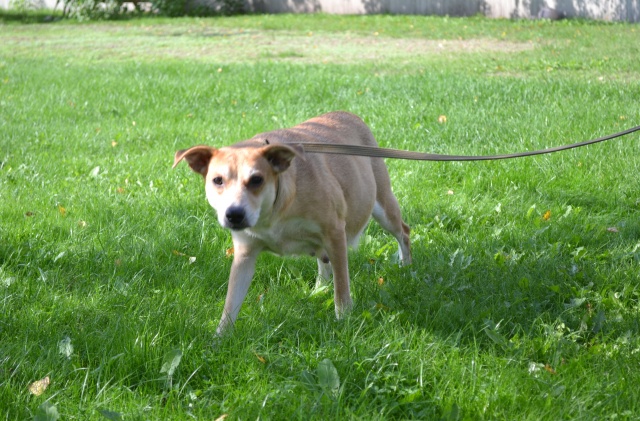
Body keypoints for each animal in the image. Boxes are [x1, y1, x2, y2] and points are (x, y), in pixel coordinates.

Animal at [174, 111, 411, 334]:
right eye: (217, 180)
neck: (274, 212)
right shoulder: (244, 253)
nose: (234, 214)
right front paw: (220, 337)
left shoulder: (335, 232)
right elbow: (231, 301)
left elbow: (342, 285)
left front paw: (344, 317)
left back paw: (406, 266)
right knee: (323, 259)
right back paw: (318, 288)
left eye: (257, 179)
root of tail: (349, 114)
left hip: (382, 204)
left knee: (403, 231)